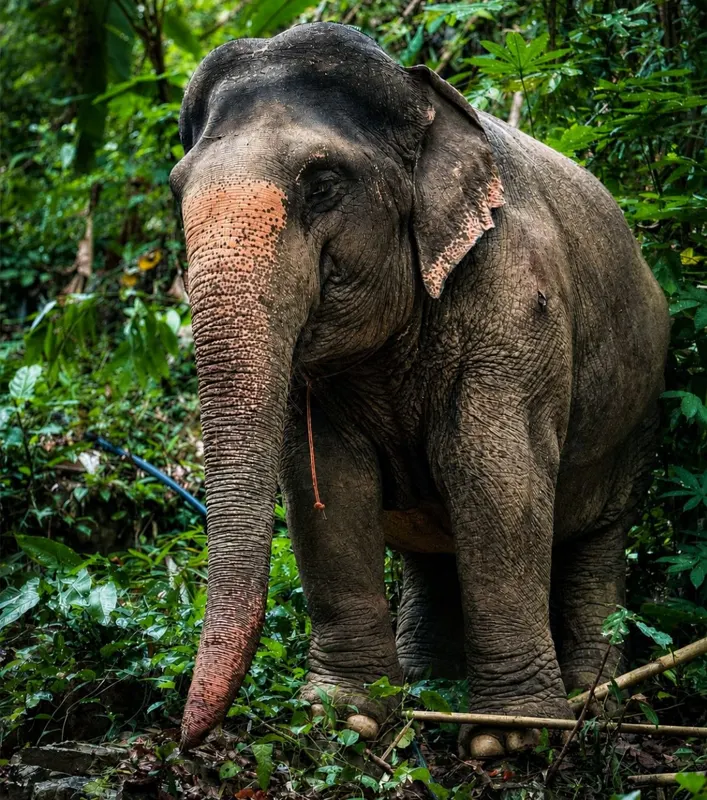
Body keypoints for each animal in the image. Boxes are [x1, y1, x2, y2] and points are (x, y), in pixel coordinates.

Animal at [169, 22, 670, 758]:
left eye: (323, 183)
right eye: (177, 189)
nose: (185, 738)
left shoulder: (515, 301)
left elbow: (496, 477)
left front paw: (508, 740)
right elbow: (328, 486)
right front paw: (344, 718)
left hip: (638, 416)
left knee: (598, 539)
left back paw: (594, 700)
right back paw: (426, 681)